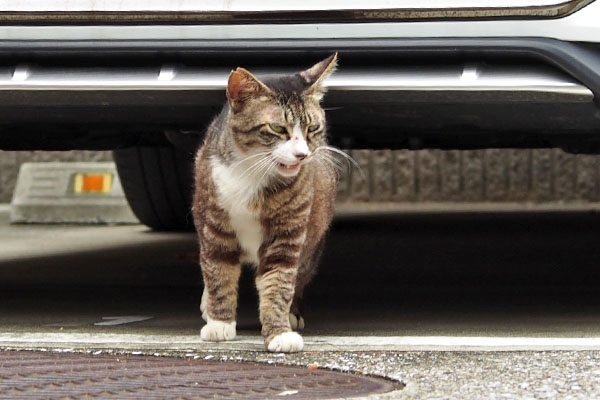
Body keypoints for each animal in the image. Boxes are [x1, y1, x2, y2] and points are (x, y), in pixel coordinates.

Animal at [195, 54, 340, 354]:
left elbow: (279, 281)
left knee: (299, 274)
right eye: (276, 128)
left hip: (312, 241)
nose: (302, 155)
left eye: (312, 127)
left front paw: (279, 333)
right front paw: (219, 324)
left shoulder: (287, 233)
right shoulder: (214, 225)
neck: (254, 173)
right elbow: (218, 272)